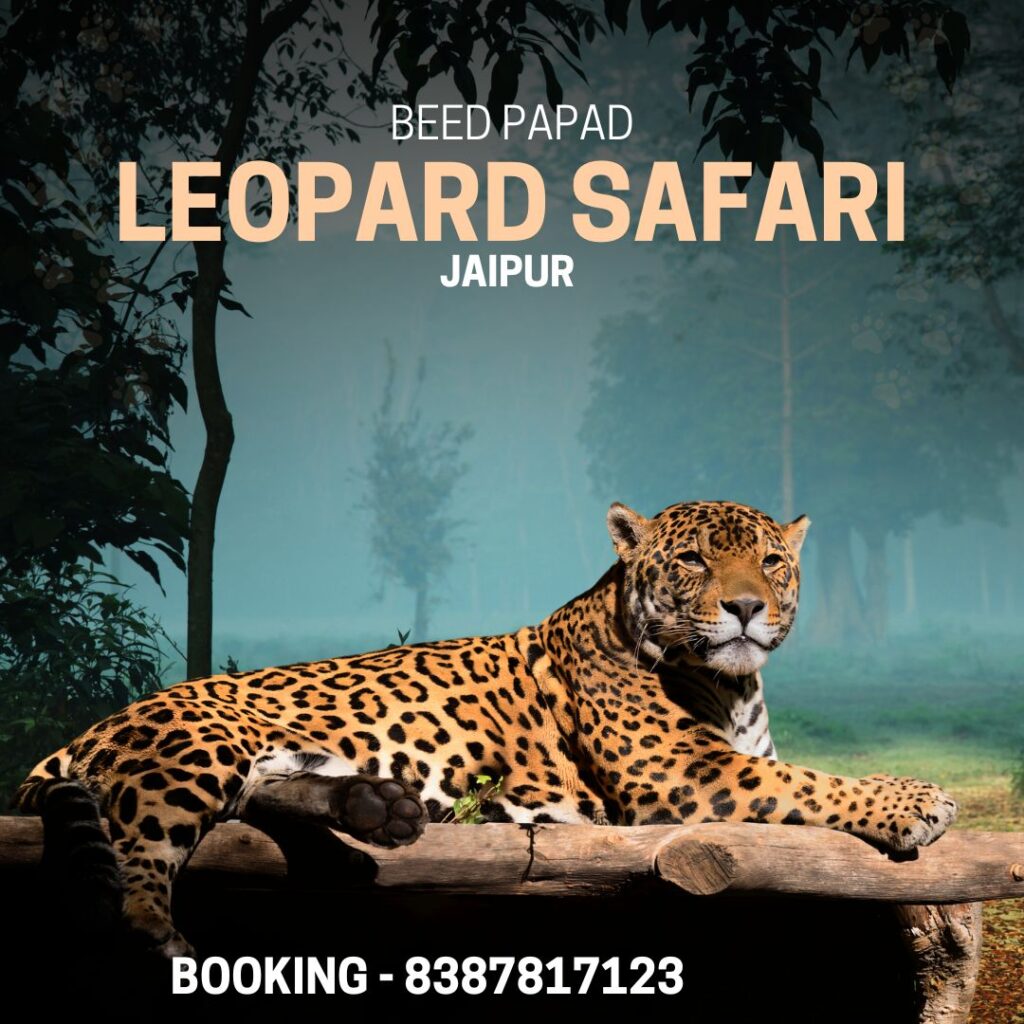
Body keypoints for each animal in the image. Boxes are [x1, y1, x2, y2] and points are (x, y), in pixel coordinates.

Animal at [15, 500, 957, 957]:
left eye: (769, 560)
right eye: (693, 560)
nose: (747, 608)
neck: (734, 688)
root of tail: (95, 725)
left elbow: (804, 772)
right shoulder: (685, 771)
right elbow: (814, 783)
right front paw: (917, 799)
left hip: (261, 760)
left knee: (265, 800)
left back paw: (379, 811)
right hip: (192, 749)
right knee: (136, 870)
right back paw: (170, 942)